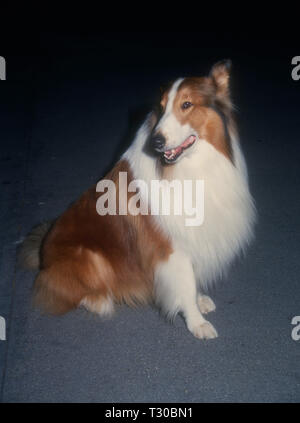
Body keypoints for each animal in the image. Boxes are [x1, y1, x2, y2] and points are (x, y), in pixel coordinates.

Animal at [19, 61, 255, 342]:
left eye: (186, 104)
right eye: (161, 108)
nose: (156, 142)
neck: (190, 166)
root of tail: (43, 255)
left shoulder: (193, 239)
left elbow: (193, 279)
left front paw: (200, 301)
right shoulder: (171, 248)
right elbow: (185, 284)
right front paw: (197, 322)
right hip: (89, 256)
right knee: (66, 290)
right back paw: (100, 301)